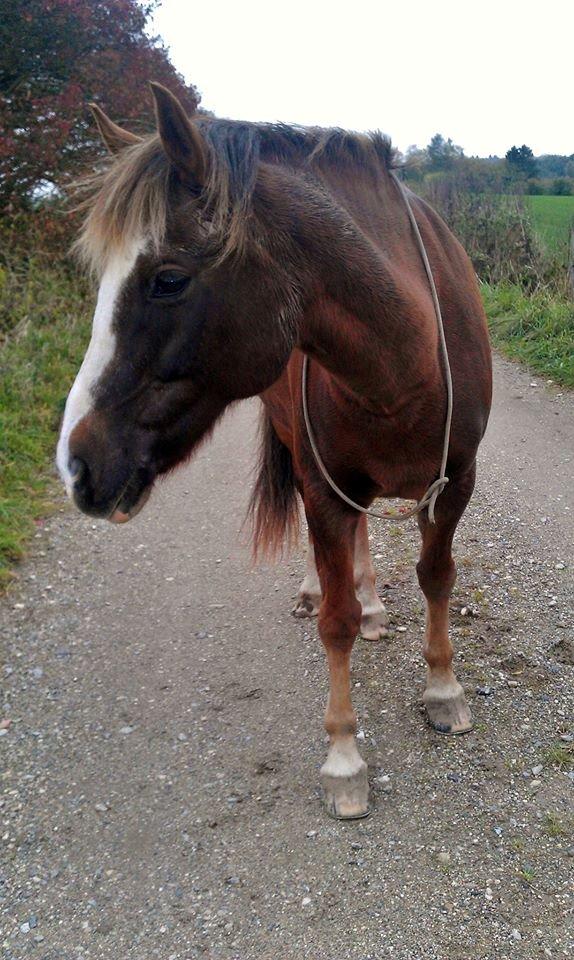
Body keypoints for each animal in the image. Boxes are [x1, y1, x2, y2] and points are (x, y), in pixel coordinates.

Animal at [56, 84, 492, 816]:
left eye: (168, 279)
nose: (78, 466)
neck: (408, 360)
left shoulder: (456, 483)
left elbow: (437, 577)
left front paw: (443, 691)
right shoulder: (323, 486)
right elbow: (336, 621)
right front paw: (344, 759)